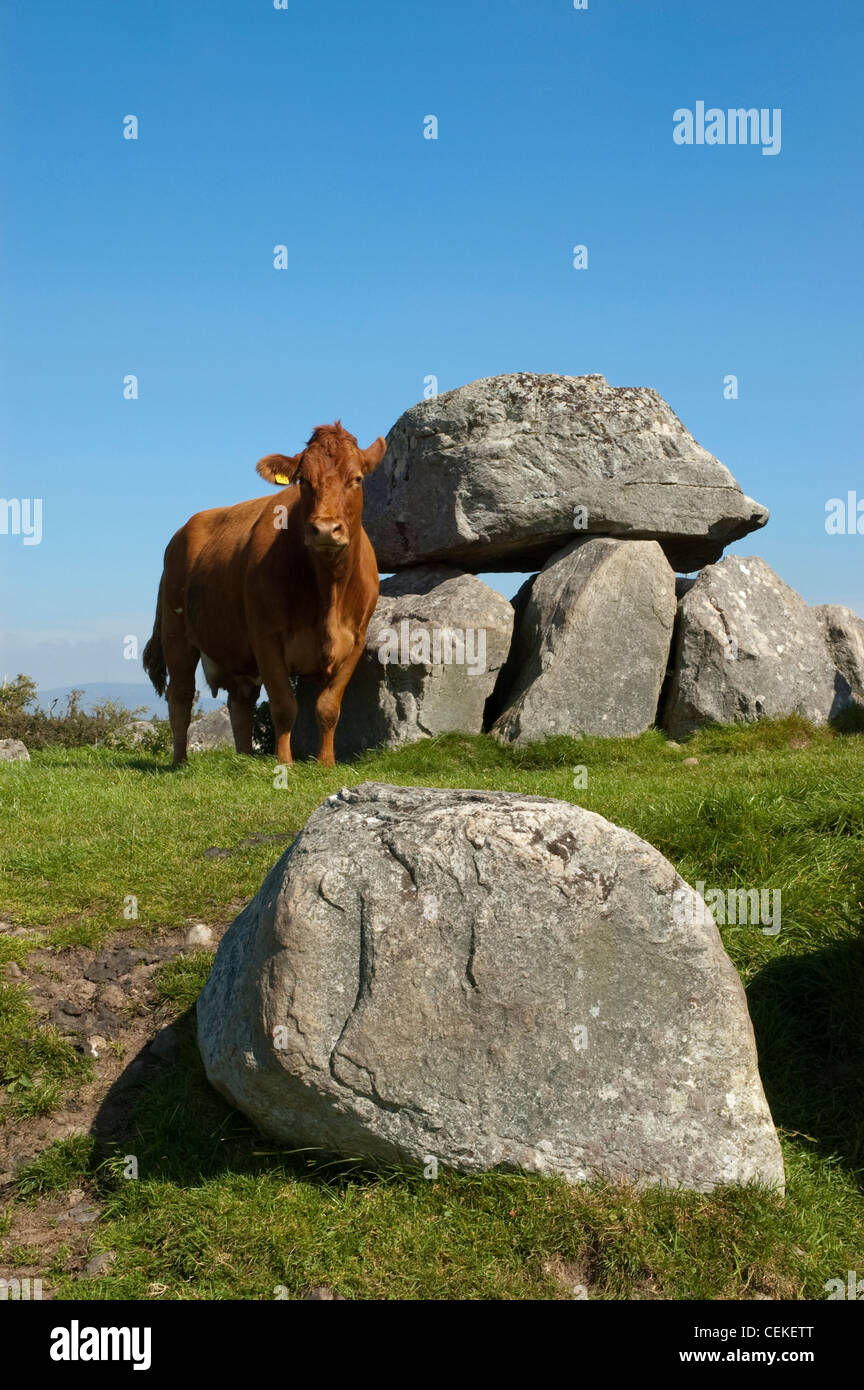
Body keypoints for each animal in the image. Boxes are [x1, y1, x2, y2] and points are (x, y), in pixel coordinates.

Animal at [143, 422, 386, 772]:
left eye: (357, 479)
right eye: (304, 481)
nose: (326, 529)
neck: (329, 590)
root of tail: (182, 532)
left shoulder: (355, 640)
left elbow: (328, 707)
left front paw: (326, 762)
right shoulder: (266, 639)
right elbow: (285, 706)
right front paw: (284, 763)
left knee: (240, 703)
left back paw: (245, 757)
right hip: (176, 636)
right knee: (180, 698)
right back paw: (180, 761)